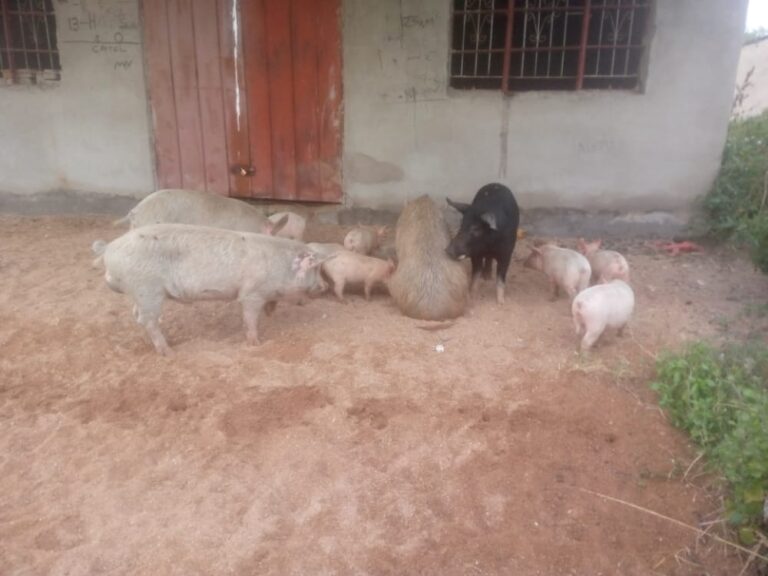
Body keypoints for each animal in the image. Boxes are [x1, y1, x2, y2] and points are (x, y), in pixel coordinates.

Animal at [92, 224, 327, 355]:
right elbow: (250, 317)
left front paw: (271, 313)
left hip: (141, 293)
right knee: (147, 320)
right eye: (315, 269)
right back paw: (168, 352)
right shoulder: (251, 293)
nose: (325, 287)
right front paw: (256, 343)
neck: (280, 266)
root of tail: (109, 247)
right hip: (147, 288)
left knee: (138, 316)